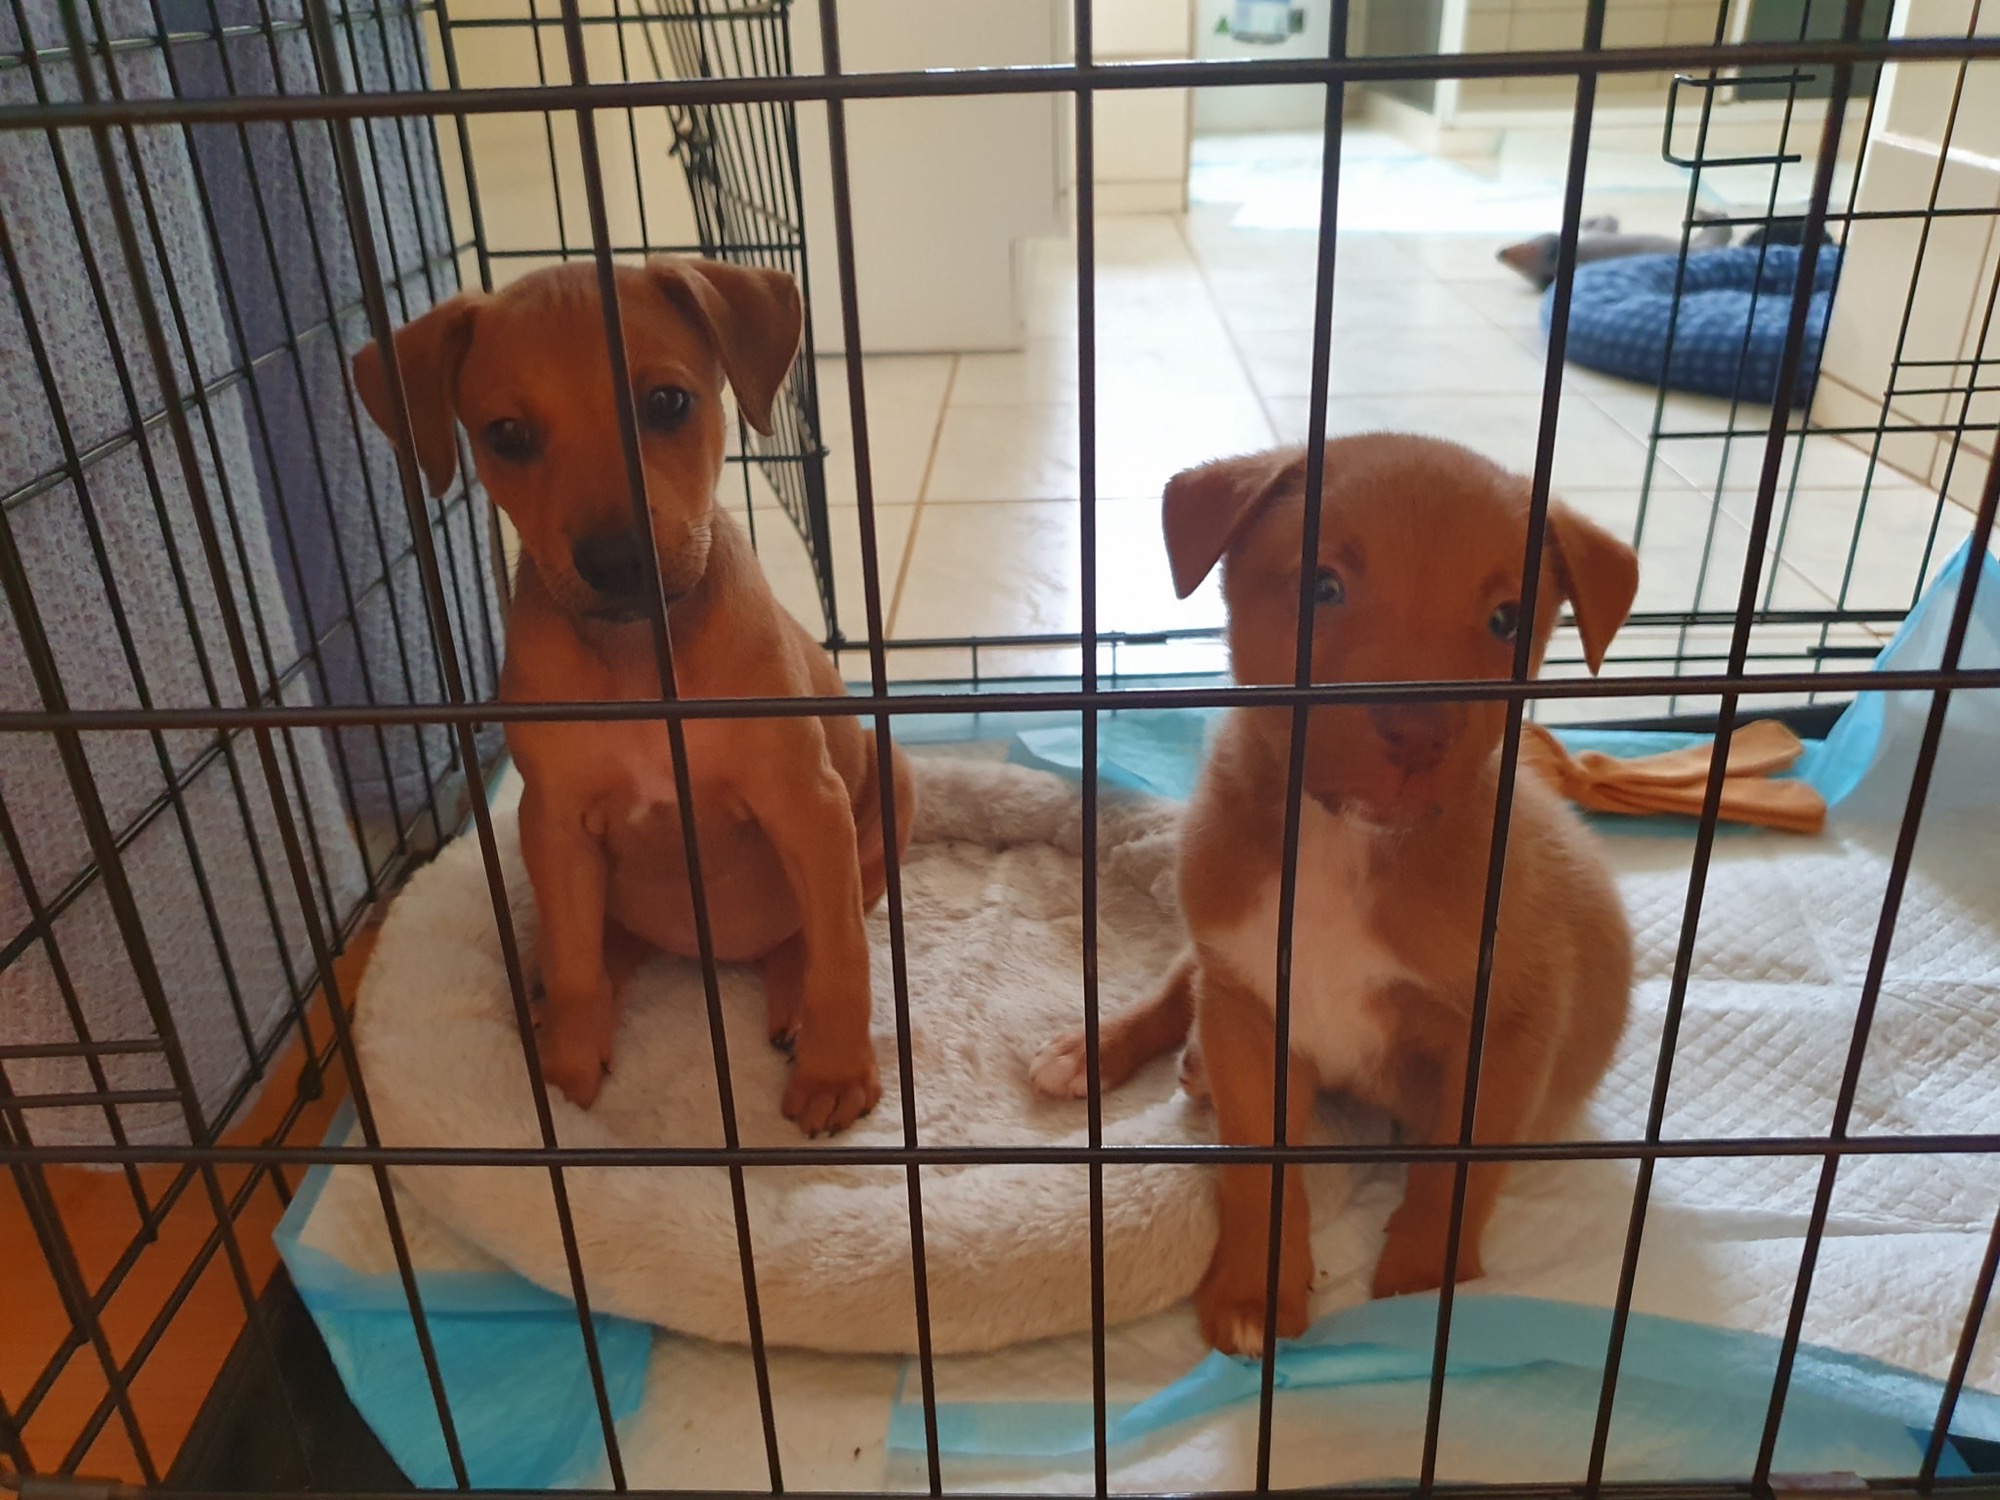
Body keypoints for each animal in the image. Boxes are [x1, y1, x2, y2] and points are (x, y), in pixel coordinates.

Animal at [353, 257, 911, 1134]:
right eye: (507, 435)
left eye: (667, 403)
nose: (617, 561)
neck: (640, 655)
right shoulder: (555, 824)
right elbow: (576, 966)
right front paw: (563, 1080)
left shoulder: (805, 804)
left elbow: (841, 956)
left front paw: (835, 1073)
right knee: (591, 948)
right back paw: (547, 1001)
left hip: (891, 792)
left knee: (816, 930)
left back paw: (790, 1000)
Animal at [1032, 434, 1636, 1353]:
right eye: (1323, 585)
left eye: (1506, 619)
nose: (1418, 732)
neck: (1342, 843)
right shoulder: (1246, 1002)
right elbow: (1256, 1167)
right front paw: (1256, 1290)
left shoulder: (1510, 1028)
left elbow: (1457, 1175)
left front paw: (1422, 1289)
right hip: (1213, 943)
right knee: (1177, 989)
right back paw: (1095, 1050)